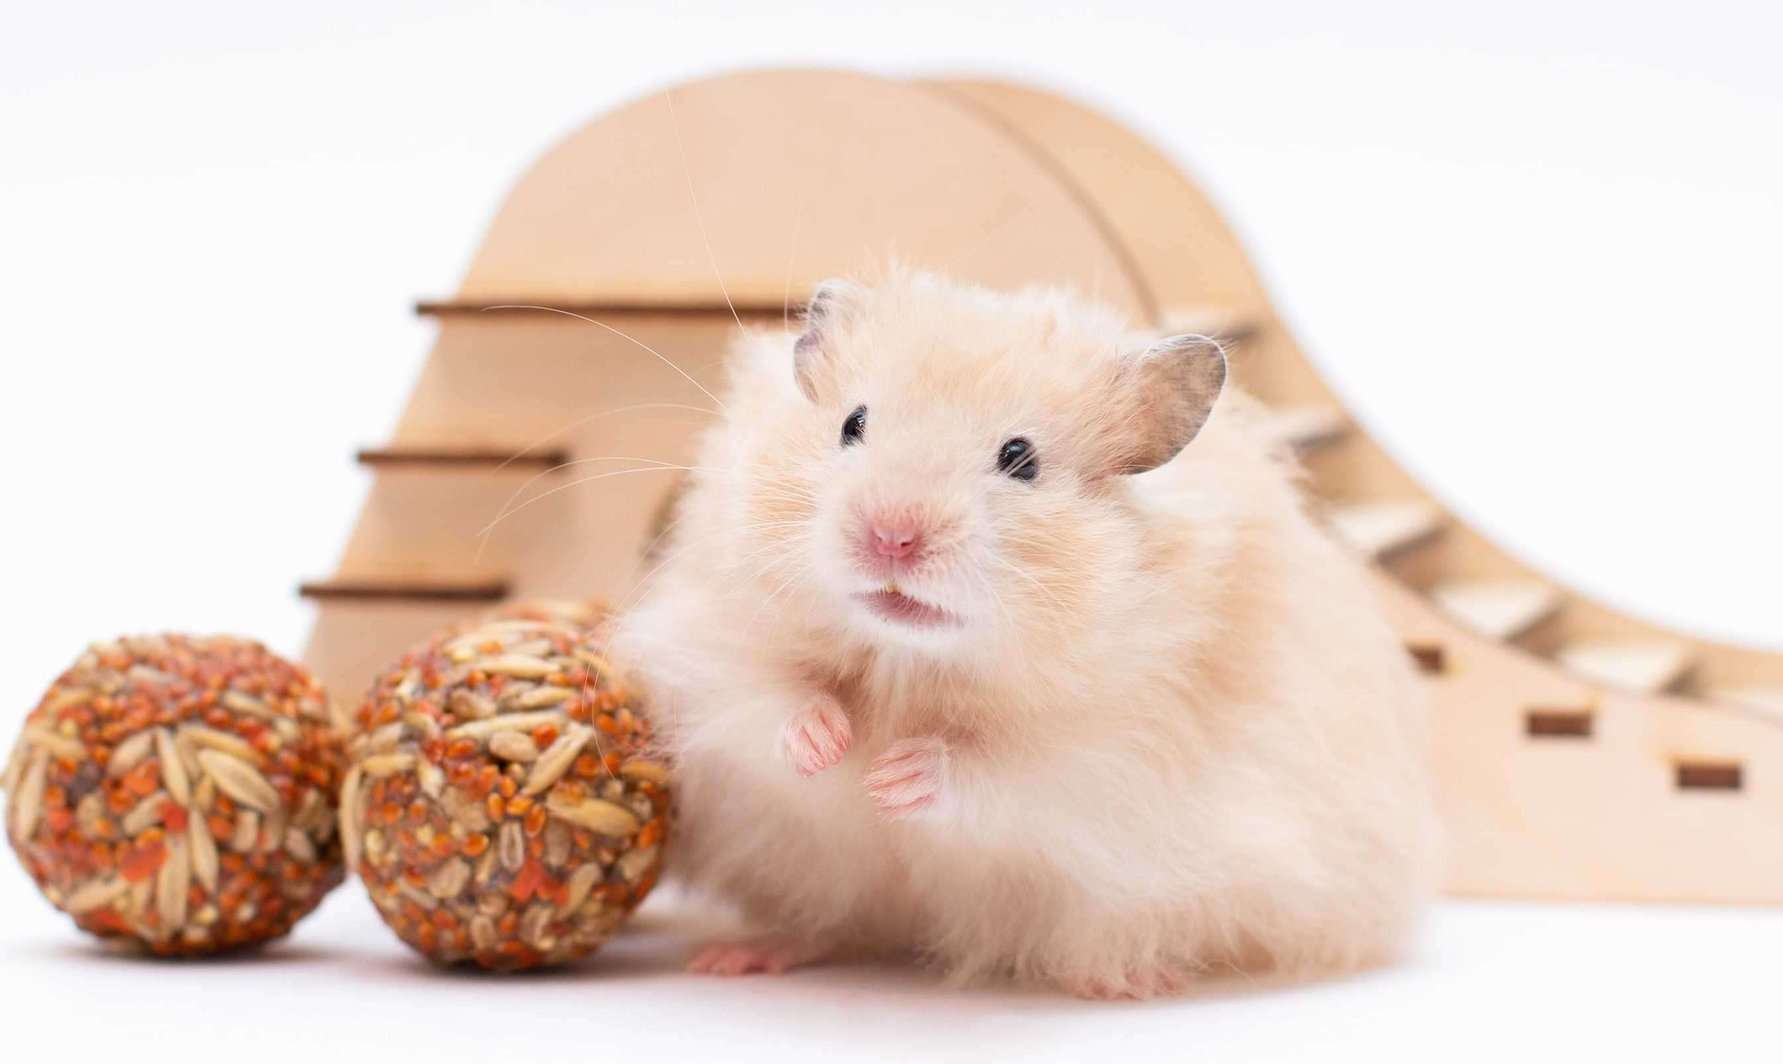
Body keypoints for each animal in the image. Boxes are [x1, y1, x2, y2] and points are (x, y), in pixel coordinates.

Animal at [613, 268, 1438, 998]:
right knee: (823, 921)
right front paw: (832, 748)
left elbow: (1000, 773)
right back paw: (736, 957)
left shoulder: (1106, 760)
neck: (908, 662)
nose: (891, 537)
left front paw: (894, 778)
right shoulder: (705, 648)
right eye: (852, 425)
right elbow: (767, 699)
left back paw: (1130, 982)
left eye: (1020, 460)